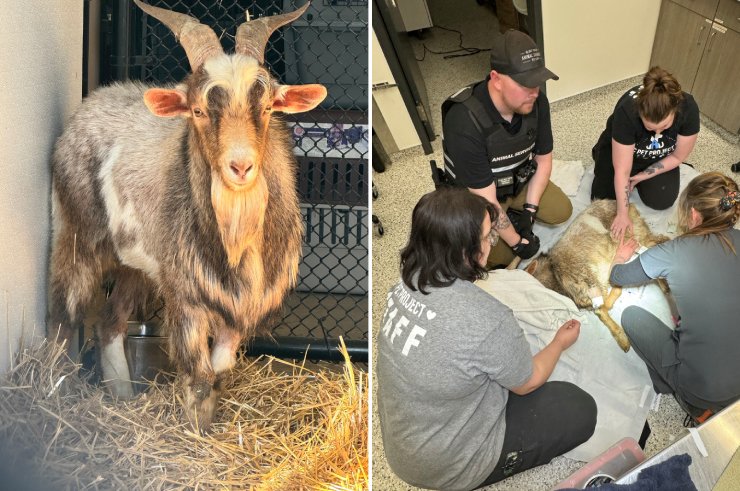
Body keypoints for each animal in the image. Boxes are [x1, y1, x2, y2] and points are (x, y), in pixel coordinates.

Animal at [49, 0, 326, 430]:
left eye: (266, 108)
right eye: (197, 110)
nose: (241, 167)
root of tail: (95, 100)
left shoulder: (237, 308)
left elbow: (219, 371)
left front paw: (207, 429)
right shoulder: (187, 296)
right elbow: (198, 375)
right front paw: (195, 430)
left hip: (139, 265)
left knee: (110, 319)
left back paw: (122, 393)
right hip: (77, 232)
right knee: (65, 308)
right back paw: (55, 389)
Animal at [528, 200, 672, 354]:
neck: (555, 272)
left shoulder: (593, 284)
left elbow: (604, 306)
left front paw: (622, 338)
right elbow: (603, 308)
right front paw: (622, 338)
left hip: (634, 236)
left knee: (655, 244)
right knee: (656, 242)